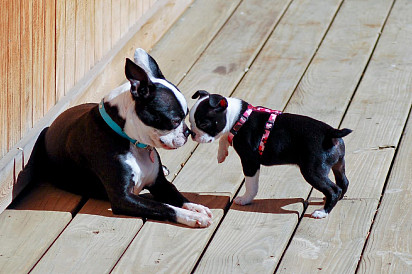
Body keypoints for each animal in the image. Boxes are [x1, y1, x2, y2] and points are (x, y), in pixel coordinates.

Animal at [16, 48, 212, 227]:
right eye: (174, 120)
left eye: (186, 115)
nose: (187, 132)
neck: (132, 142)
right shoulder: (123, 198)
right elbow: (165, 207)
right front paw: (193, 217)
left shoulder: (160, 184)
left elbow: (178, 196)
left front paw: (196, 207)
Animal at [189, 90, 350, 218]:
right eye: (191, 122)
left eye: (203, 124)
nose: (192, 133)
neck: (238, 118)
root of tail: (330, 132)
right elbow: (224, 137)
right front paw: (221, 153)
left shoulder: (250, 162)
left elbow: (251, 185)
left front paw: (245, 199)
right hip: (338, 165)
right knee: (343, 182)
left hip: (312, 171)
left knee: (334, 189)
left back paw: (323, 212)